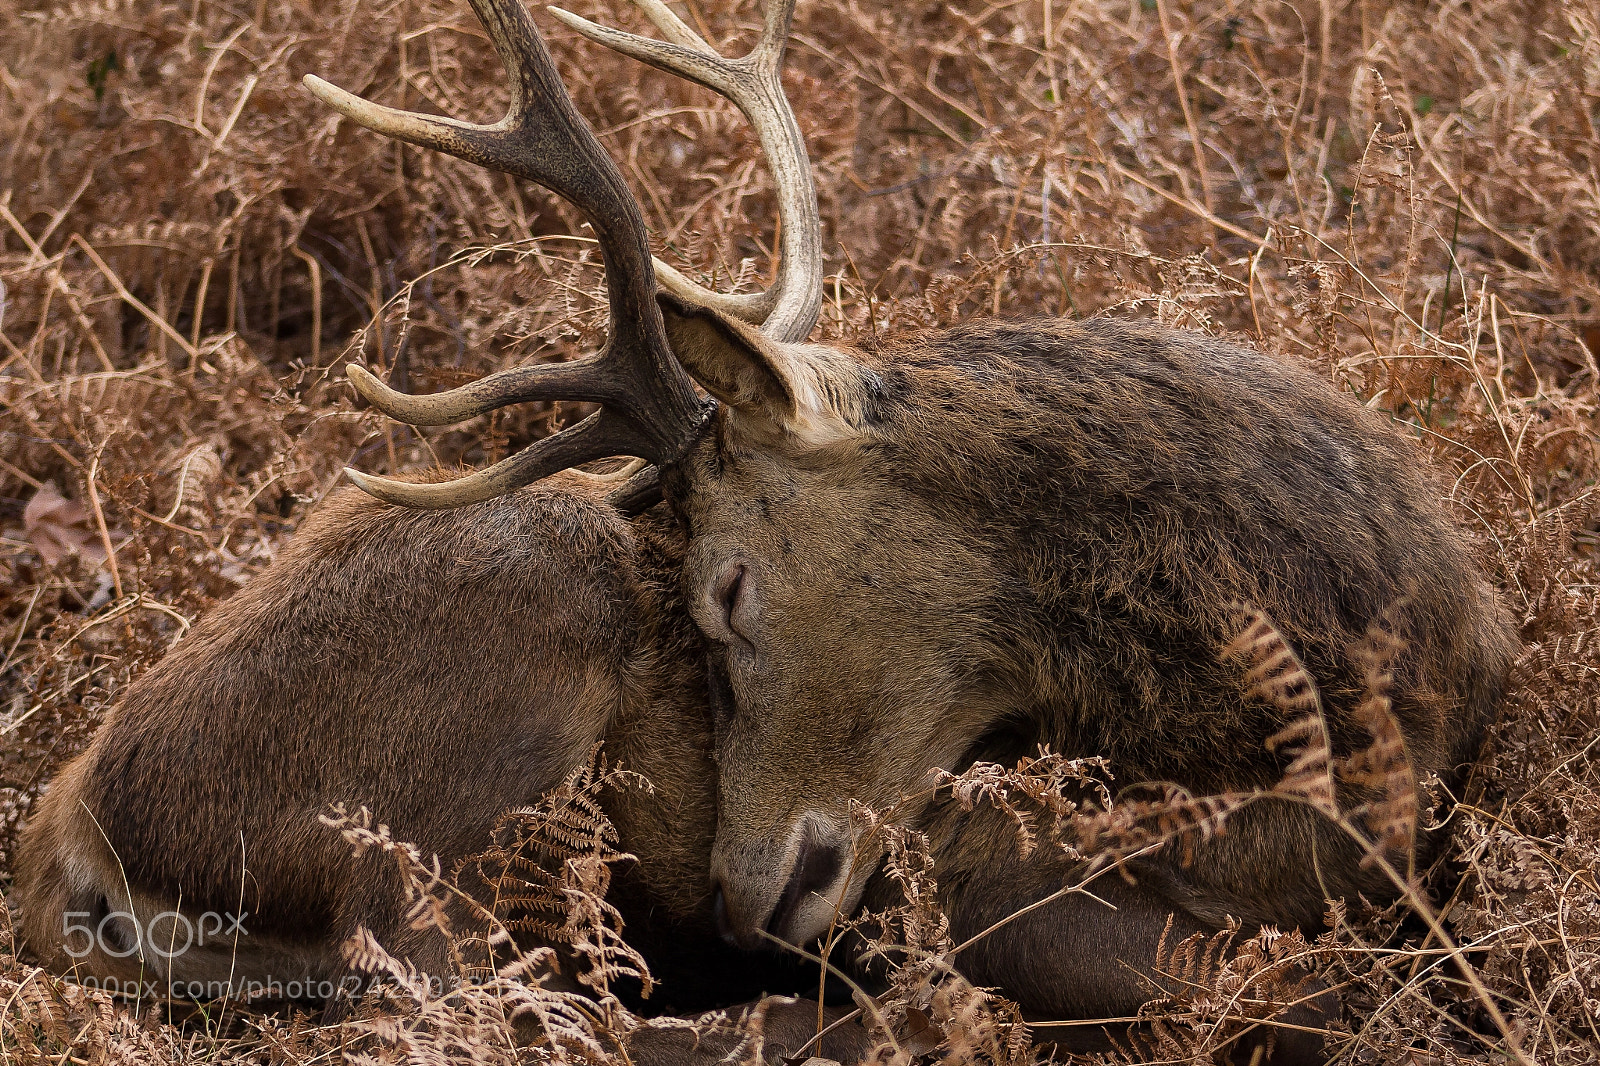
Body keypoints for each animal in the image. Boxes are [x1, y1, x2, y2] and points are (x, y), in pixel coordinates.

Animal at [14, 0, 1517, 1063]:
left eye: (728, 588)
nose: (746, 902)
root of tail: (71, 848)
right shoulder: (979, 871)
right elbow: (1309, 1002)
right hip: (505, 629)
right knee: (455, 993)